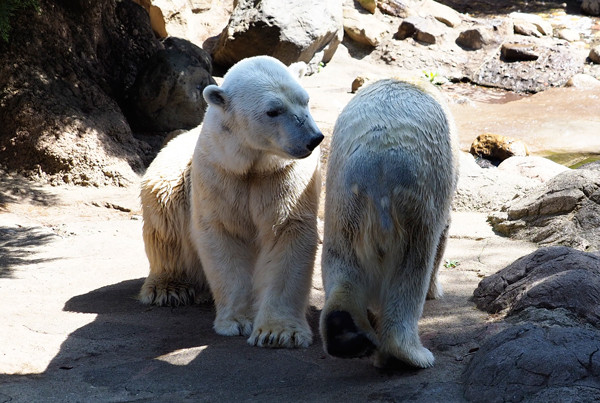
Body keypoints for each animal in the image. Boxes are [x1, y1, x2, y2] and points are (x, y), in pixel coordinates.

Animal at [140, 55, 324, 348]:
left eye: (305, 100)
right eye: (273, 111)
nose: (313, 138)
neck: (253, 165)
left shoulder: (284, 177)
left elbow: (287, 233)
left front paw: (278, 333)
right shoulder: (220, 173)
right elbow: (224, 235)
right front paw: (239, 321)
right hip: (174, 170)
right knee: (163, 204)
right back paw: (169, 288)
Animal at [322, 79, 458, 370]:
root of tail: (378, 167)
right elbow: (443, 233)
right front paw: (435, 290)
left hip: (344, 196)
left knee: (341, 258)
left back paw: (345, 333)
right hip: (415, 197)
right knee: (412, 266)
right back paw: (411, 355)